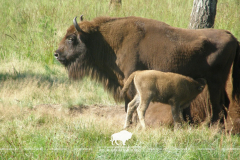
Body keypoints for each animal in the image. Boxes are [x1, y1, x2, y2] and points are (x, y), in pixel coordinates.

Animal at [54, 15, 240, 124]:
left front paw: (133, 125)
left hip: (215, 81)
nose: (56, 54)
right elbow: (130, 106)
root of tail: (231, 36)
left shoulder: (131, 84)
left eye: (71, 38)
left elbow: (131, 106)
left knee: (218, 105)